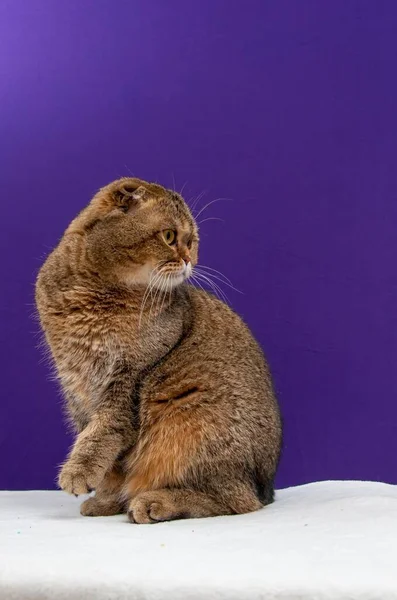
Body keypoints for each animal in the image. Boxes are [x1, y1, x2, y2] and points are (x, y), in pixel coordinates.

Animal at [34, 176, 282, 524]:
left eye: (192, 241)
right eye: (169, 237)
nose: (190, 259)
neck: (95, 297)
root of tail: (266, 485)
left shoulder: (129, 378)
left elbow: (105, 430)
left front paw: (79, 471)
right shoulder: (76, 383)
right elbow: (109, 459)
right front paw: (107, 500)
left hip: (191, 421)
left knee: (237, 501)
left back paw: (156, 503)